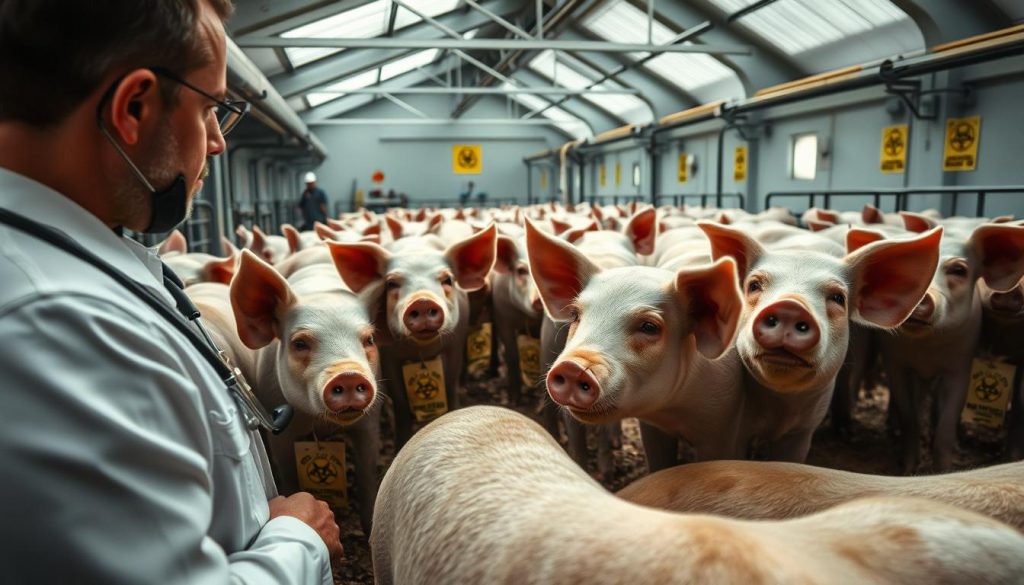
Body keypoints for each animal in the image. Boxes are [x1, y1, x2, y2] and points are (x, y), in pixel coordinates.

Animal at [227, 250, 382, 533]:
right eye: (299, 343)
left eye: (369, 340)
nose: (349, 375)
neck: (320, 424)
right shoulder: (278, 426)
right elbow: (288, 473)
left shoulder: (370, 420)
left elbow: (367, 477)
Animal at [328, 225, 497, 449]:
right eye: (391, 283)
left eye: (447, 280)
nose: (423, 301)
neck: (421, 349)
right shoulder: (387, 354)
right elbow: (401, 403)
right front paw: (400, 442)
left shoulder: (455, 342)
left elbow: (450, 384)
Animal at [698, 222, 941, 462]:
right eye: (754, 286)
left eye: (838, 298)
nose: (790, 306)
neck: (778, 410)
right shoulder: (733, 430)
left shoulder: (803, 431)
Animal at [882, 216, 1024, 473]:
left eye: (959, 270)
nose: (921, 296)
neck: (926, 348)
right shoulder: (895, 362)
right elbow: (910, 417)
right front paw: (907, 470)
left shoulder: (960, 366)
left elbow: (946, 429)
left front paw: (943, 471)